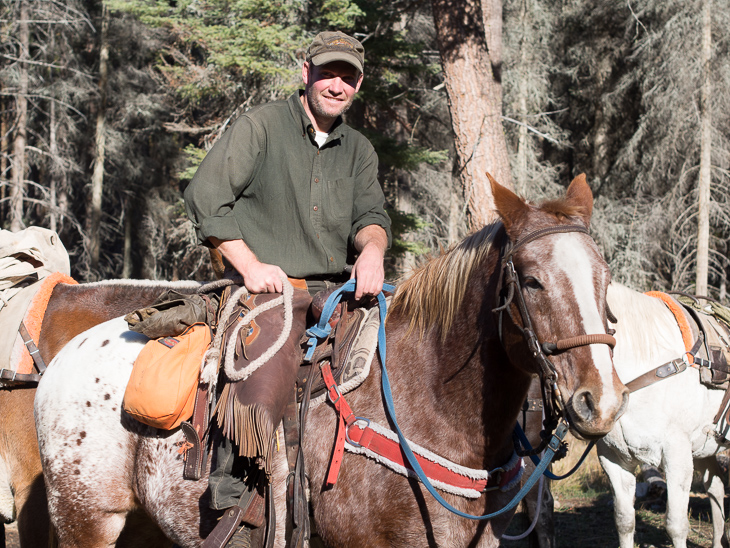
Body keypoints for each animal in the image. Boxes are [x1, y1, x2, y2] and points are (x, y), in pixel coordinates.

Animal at [34, 176, 624, 548]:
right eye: (533, 281)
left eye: (606, 276)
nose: (601, 402)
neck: (430, 402)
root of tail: (63, 361)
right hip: (86, 522)